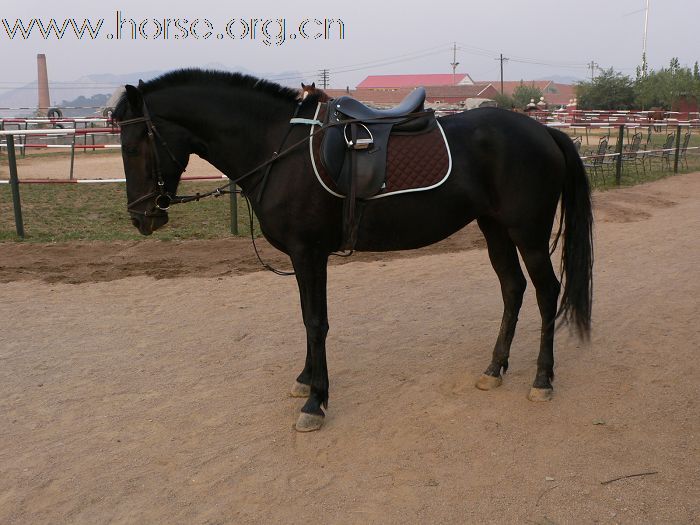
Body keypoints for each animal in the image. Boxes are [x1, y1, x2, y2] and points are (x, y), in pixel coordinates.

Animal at [113, 68, 592, 430]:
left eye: (135, 145)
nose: (142, 217)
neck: (279, 148)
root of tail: (544, 131)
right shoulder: (302, 257)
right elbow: (307, 317)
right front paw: (306, 380)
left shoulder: (309, 253)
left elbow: (315, 321)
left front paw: (315, 402)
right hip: (494, 229)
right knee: (513, 289)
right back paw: (495, 369)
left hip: (528, 232)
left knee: (547, 293)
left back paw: (542, 379)